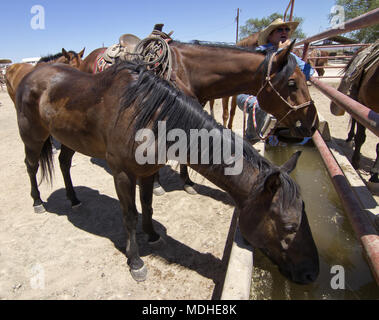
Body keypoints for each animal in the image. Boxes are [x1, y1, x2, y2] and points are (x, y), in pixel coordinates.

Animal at [16, 60, 320, 284]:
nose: (312, 273)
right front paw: (136, 262)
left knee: (64, 163)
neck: (148, 116)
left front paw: (151, 235)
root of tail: (30, 74)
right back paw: (37, 201)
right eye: (289, 227)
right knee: (31, 166)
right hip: (33, 137)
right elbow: (130, 215)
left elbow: (148, 205)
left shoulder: (147, 171)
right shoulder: (122, 174)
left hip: (68, 139)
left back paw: (73, 198)